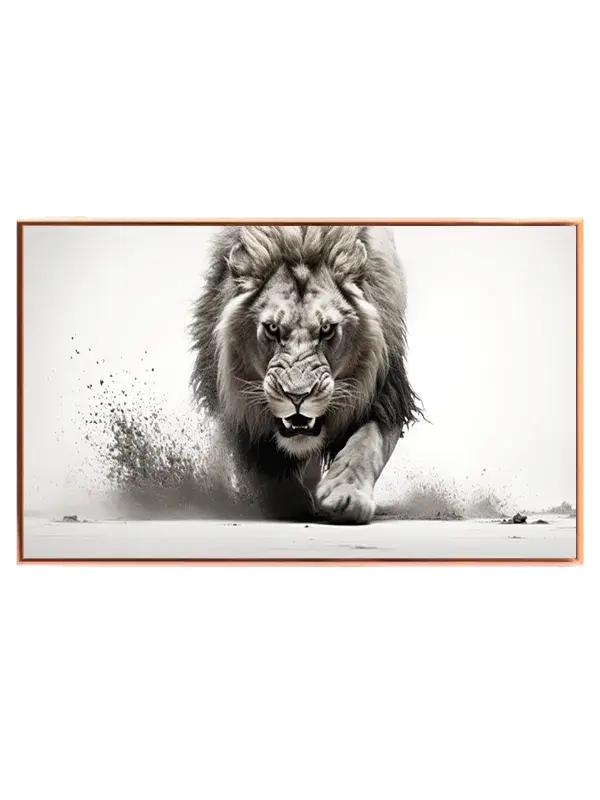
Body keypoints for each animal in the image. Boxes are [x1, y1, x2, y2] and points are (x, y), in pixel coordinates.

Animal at [190, 225, 422, 524]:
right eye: (272, 328)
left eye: (326, 329)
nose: (297, 396)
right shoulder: (237, 405)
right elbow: (263, 464)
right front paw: (288, 502)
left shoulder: (386, 392)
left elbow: (366, 443)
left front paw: (345, 495)